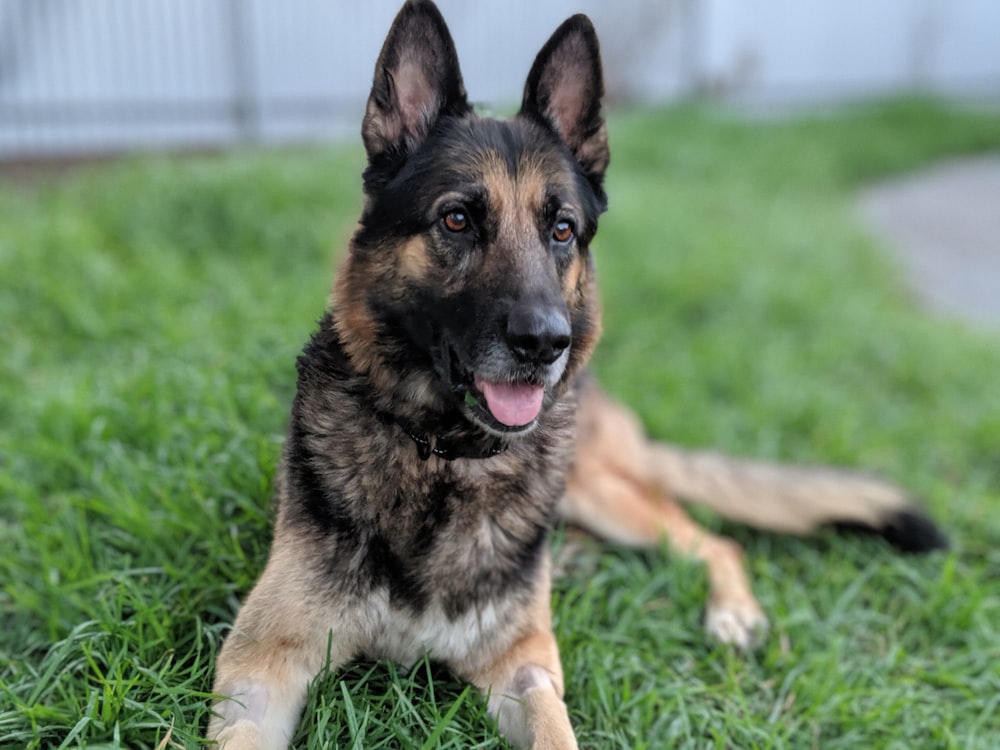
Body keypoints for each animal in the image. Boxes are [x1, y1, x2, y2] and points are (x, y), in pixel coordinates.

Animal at [205, 2, 944, 748]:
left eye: (562, 229)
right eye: (457, 218)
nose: (545, 343)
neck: (444, 461)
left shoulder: (524, 671)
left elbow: (555, 724)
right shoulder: (258, 669)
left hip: (600, 491)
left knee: (712, 538)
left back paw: (729, 610)